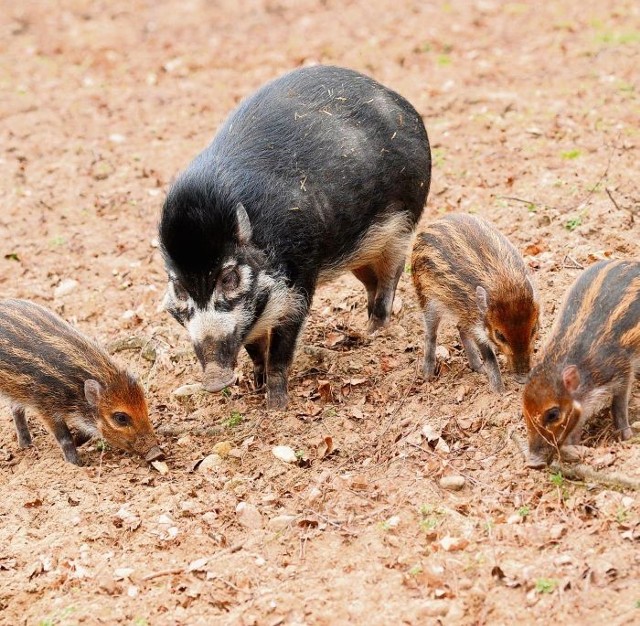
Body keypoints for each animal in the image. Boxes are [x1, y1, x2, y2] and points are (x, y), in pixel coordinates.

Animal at [159, 66, 430, 408]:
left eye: (229, 277)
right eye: (179, 287)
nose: (214, 380)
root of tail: (398, 99)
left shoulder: (298, 283)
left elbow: (281, 347)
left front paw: (276, 405)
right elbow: (254, 347)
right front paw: (256, 385)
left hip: (402, 224)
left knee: (392, 274)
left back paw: (374, 331)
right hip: (360, 249)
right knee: (370, 280)